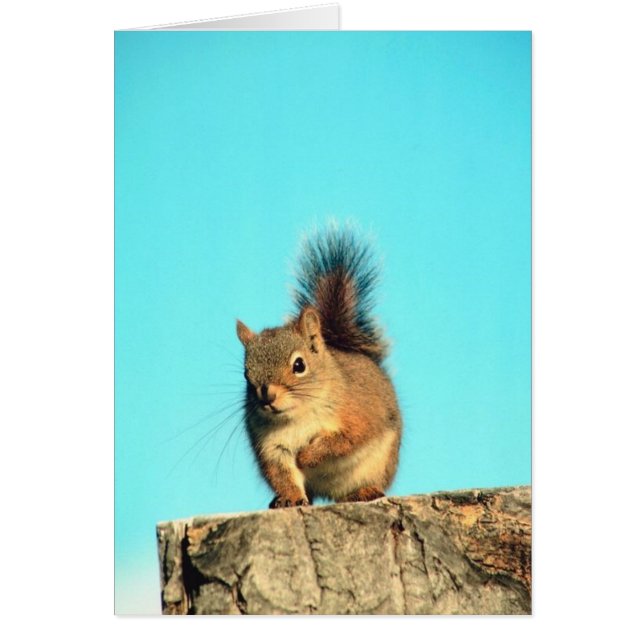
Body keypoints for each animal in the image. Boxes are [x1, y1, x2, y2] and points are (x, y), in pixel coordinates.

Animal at [235, 226, 402, 509]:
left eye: (299, 365)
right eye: (247, 375)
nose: (267, 396)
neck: (297, 415)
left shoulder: (357, 416)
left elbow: (344, 440)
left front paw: (306, 456)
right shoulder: (271, 446)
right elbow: (282, 473)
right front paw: (291, 498)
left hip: (379, 464)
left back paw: (362, 492)